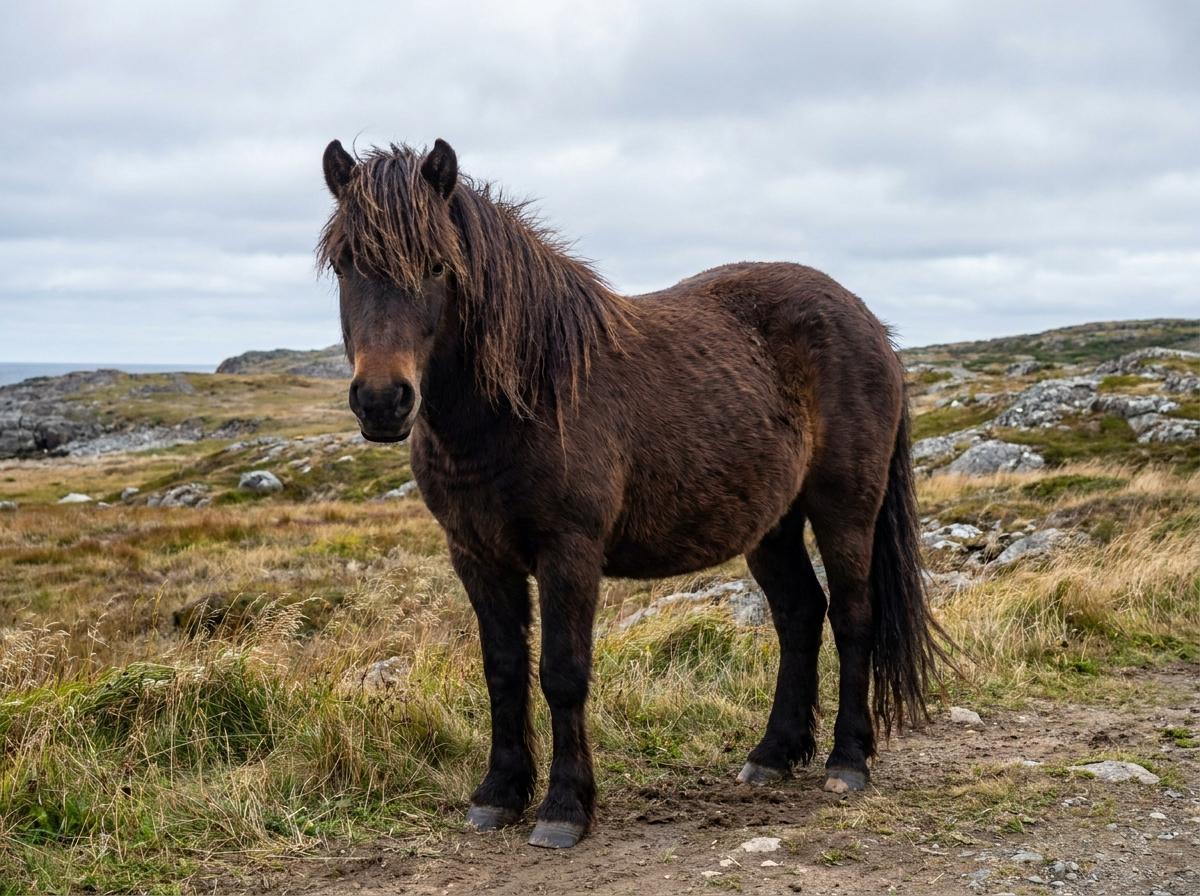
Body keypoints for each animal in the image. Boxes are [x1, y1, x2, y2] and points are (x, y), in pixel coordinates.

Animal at [317, 137, 946, 849]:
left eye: (436, 265)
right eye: (344, 264)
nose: (382, 401)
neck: (529, 396)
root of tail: (869, 323)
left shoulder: (569, 553)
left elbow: (562, 673)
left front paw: (564, 809)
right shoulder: (476, 556)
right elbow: (502, 669)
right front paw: (498, 794)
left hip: (845, 510)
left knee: (852, 617)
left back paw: (848, 761)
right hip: (772, 524)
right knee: (799, 615)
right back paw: (772, 755)